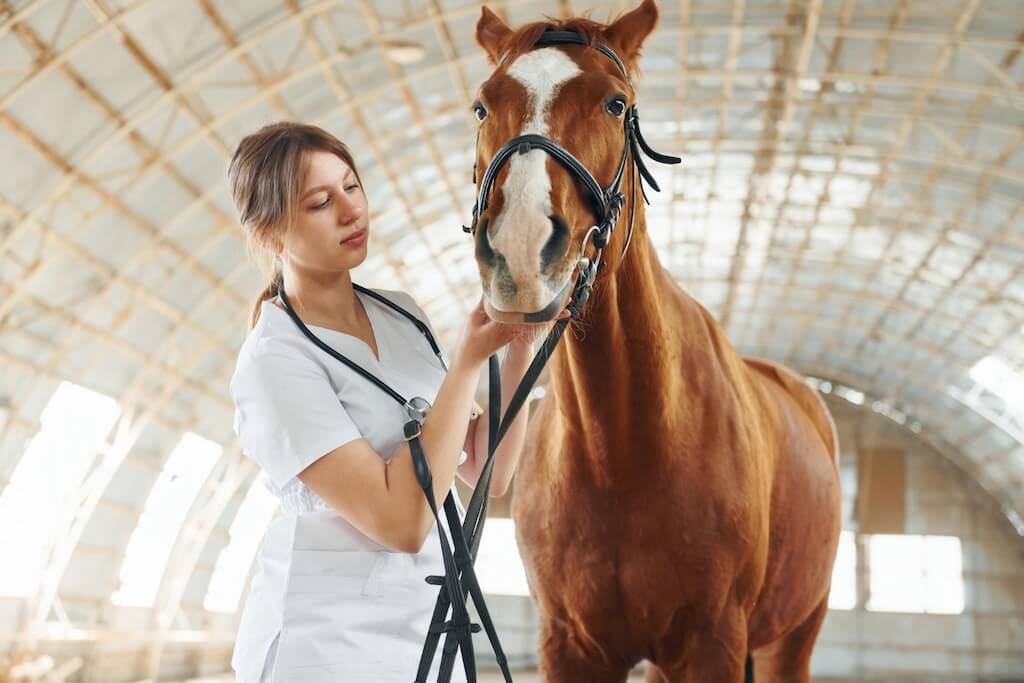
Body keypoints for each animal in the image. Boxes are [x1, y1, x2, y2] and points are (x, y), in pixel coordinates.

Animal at [464, 2, 839, 679]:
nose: (519, 253)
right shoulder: (571, 646)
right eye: (482, 106)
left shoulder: (713, 643)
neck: (622, 450)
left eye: (616, 104)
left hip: (793, 636)